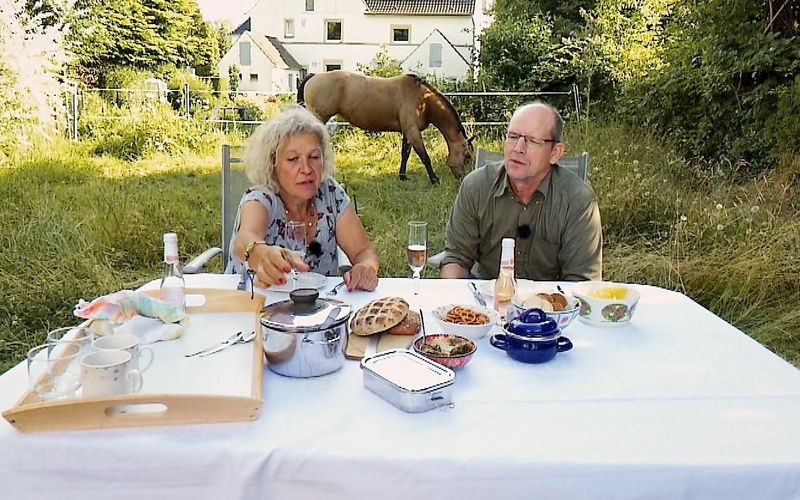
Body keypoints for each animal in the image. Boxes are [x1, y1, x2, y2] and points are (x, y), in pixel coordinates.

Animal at [296, 70, 472, 184]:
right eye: (468, 156)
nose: (464, 178)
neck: (423, 100)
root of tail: (314, 76)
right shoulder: (413, 131)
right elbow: (424, 156)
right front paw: (434, 179)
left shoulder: (408, 131)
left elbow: (405, 154)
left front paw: (403, 176)